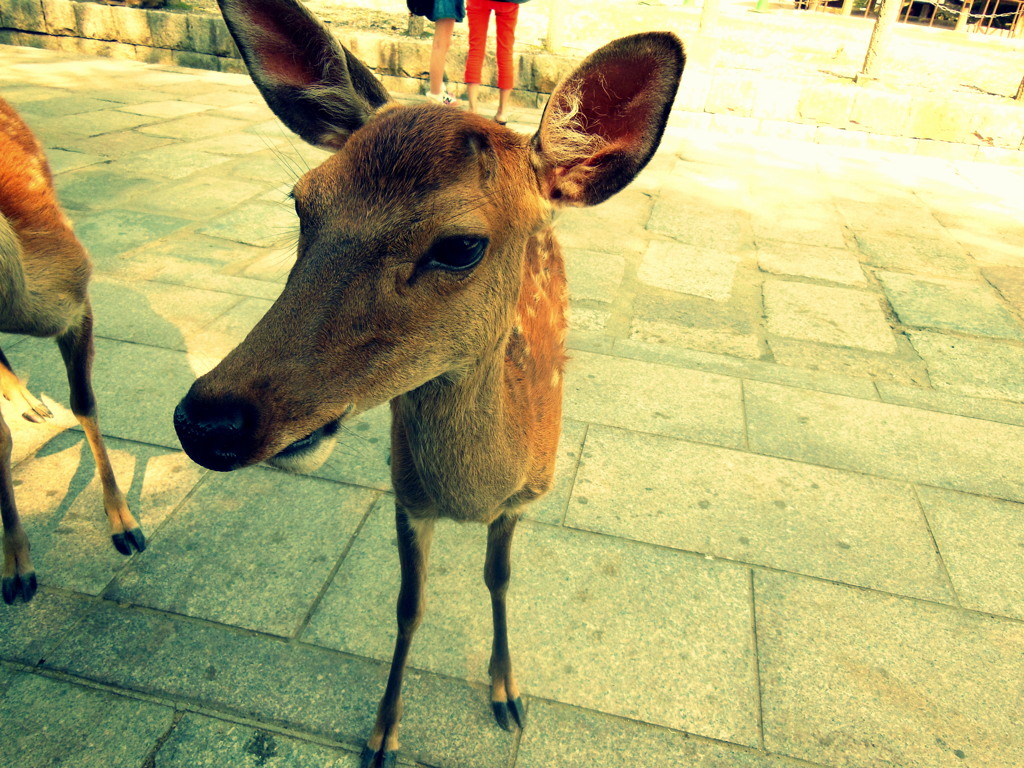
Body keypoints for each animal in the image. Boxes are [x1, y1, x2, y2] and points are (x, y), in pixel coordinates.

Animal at [173, 3, 684, 765]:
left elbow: (499, 578)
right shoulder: (406, 492)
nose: (209, 419)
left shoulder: (525, 496)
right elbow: (408, 606)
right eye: (301, 204)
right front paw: (383, 730)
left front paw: (507, 694)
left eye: (460, 245)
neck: (473, 494)